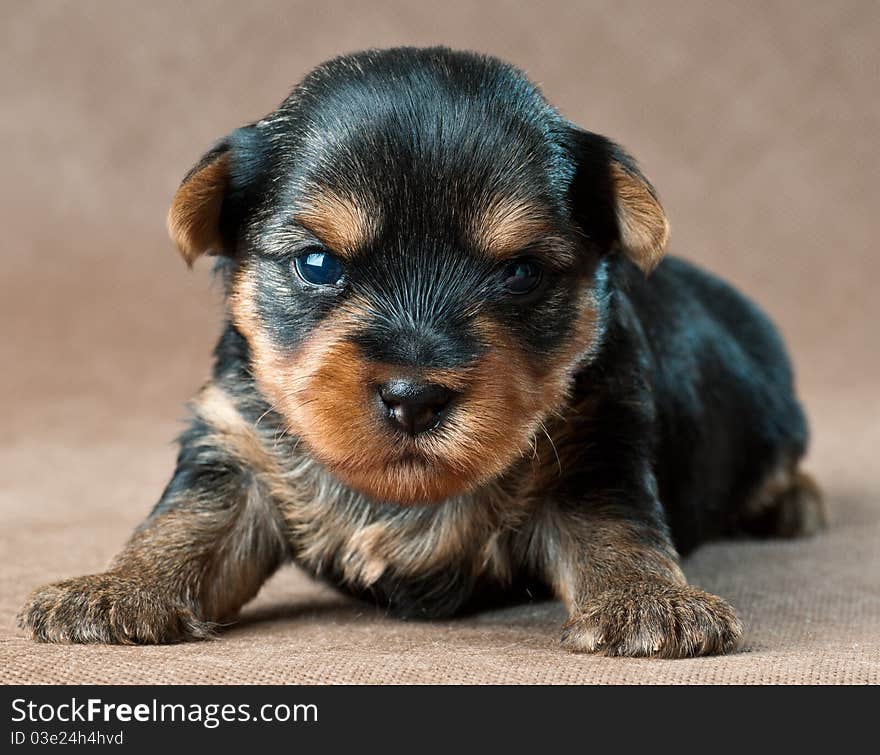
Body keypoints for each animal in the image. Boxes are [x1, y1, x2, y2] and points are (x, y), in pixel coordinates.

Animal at [18, 50, 824, 660]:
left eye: (520, 273)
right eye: (317, 264)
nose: (414, 396)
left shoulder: (599, 443)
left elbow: (617, 529)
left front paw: (652, 601)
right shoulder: (236, 443)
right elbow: (185, 522)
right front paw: (115, 588)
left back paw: (794, 503)